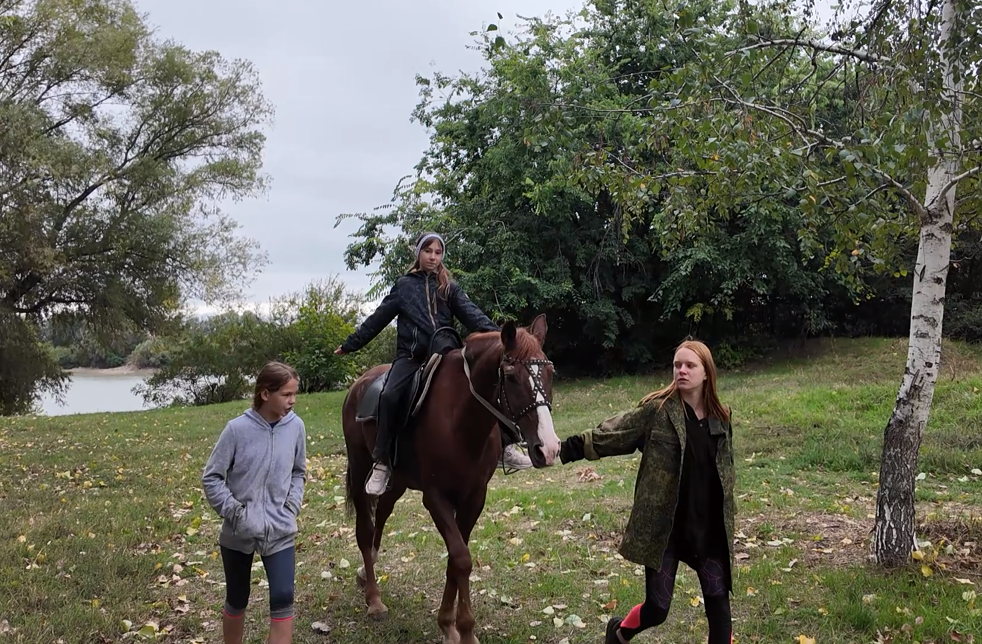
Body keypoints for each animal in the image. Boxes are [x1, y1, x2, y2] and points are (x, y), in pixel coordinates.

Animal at [341, 314, 561, 644]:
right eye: (510, 377)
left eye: (550, 372)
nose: (548, 449)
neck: (460, 421)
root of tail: (359, 384)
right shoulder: (436, 498)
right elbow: (461, 559)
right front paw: (462, 630)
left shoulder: (474, 497)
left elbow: (456, 560)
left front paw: (449, 624)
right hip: (359, 468)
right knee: (365, 531)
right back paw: (374, 599)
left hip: (398, 481)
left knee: (382, 514)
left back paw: (365, 575)